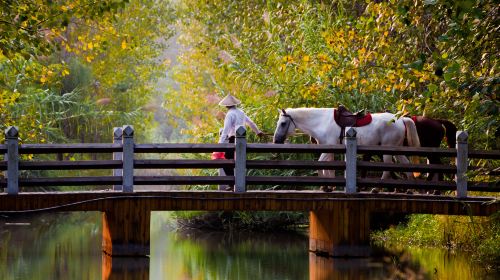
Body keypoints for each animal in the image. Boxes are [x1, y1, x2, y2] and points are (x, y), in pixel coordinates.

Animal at [272, 107, 420, 190]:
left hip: (386, 150)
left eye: (283, 123)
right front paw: (329, 186)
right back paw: (410, 189)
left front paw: (325, 186)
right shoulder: (330, 150)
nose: (276, 140)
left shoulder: (328, 148)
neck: (322, 122)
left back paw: (377, 189)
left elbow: (321, 164)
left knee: (387, 168)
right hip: (396, 149)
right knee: (405, 164)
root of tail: (401, 119)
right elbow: (328, 167)